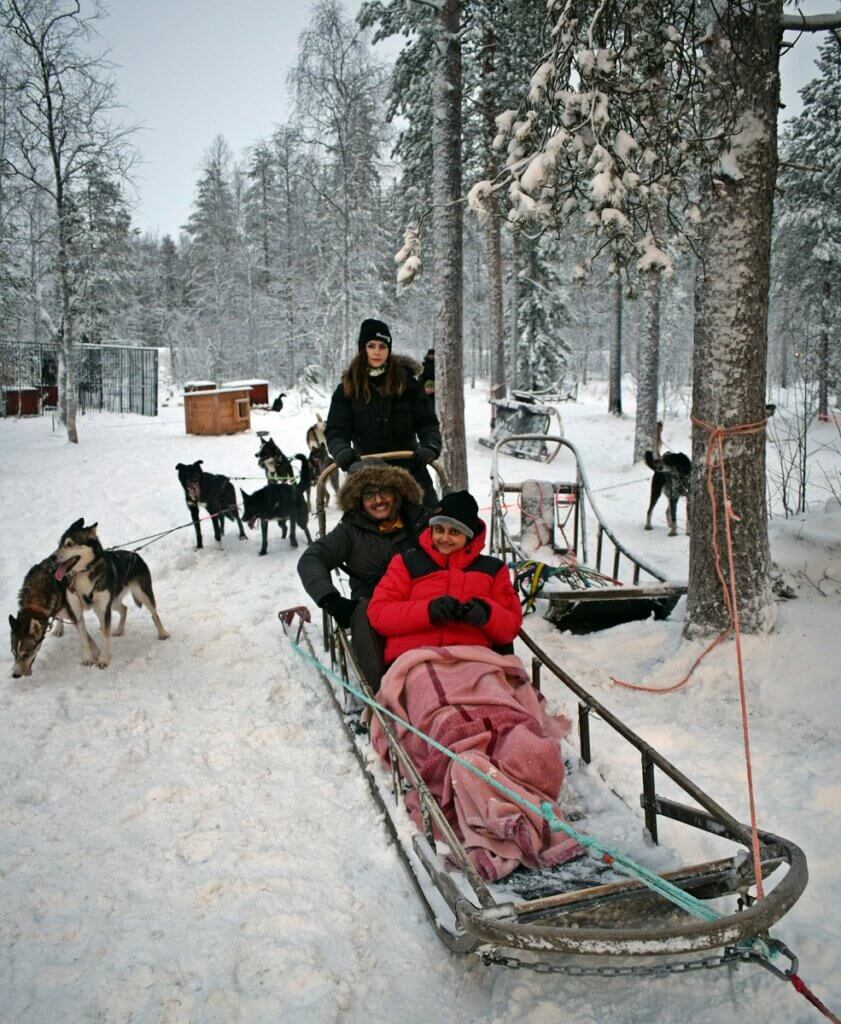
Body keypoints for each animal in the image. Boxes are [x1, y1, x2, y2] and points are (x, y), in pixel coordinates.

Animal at [49, 520, 169, 671]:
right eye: (59, 544)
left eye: (70, 544)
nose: (51, 558)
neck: (84, 574)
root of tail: (134, 554)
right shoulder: (77, 611)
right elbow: (84, 638)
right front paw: (88, 658)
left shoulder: (104, 608)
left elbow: (105, 637)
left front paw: (103, 659)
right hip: (112, 602)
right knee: (124, 609)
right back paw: (118, 630)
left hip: (141, 595)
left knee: (154, 614)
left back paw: (162, 633)